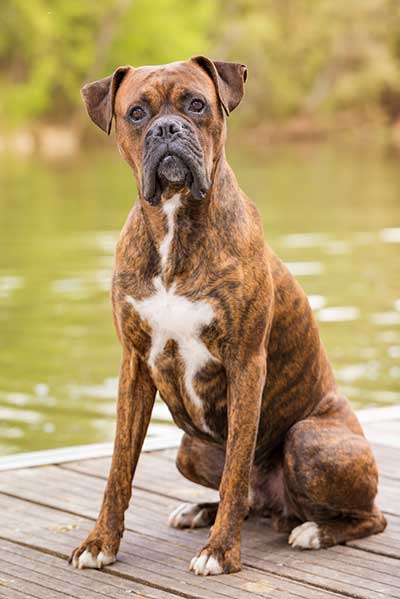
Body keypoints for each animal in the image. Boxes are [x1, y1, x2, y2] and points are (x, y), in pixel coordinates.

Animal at [70, 56, 386, 576]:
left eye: (197, 104)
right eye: (136, 113)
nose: (167, 128)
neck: (175, 224)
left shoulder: (246, 363)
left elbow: (236, 469)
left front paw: (220, 552)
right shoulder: (134, 365)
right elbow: (118, 469)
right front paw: (100, 542)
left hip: (308, 439)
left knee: (366, 516)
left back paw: (313, 531)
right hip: (189, 449)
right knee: (252, 500)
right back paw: (200, 510)